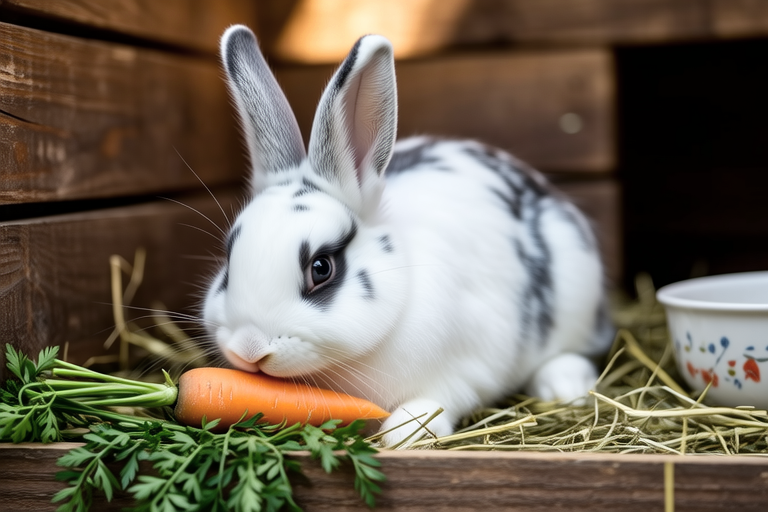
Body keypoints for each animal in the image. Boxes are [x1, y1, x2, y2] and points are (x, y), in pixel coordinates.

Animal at [202, 24, 614, 446]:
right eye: (228, 266)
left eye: (321, 268)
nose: (249, 349)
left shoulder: (470, 367)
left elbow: (443, 398)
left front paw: (404, 431)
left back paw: (564, 384)